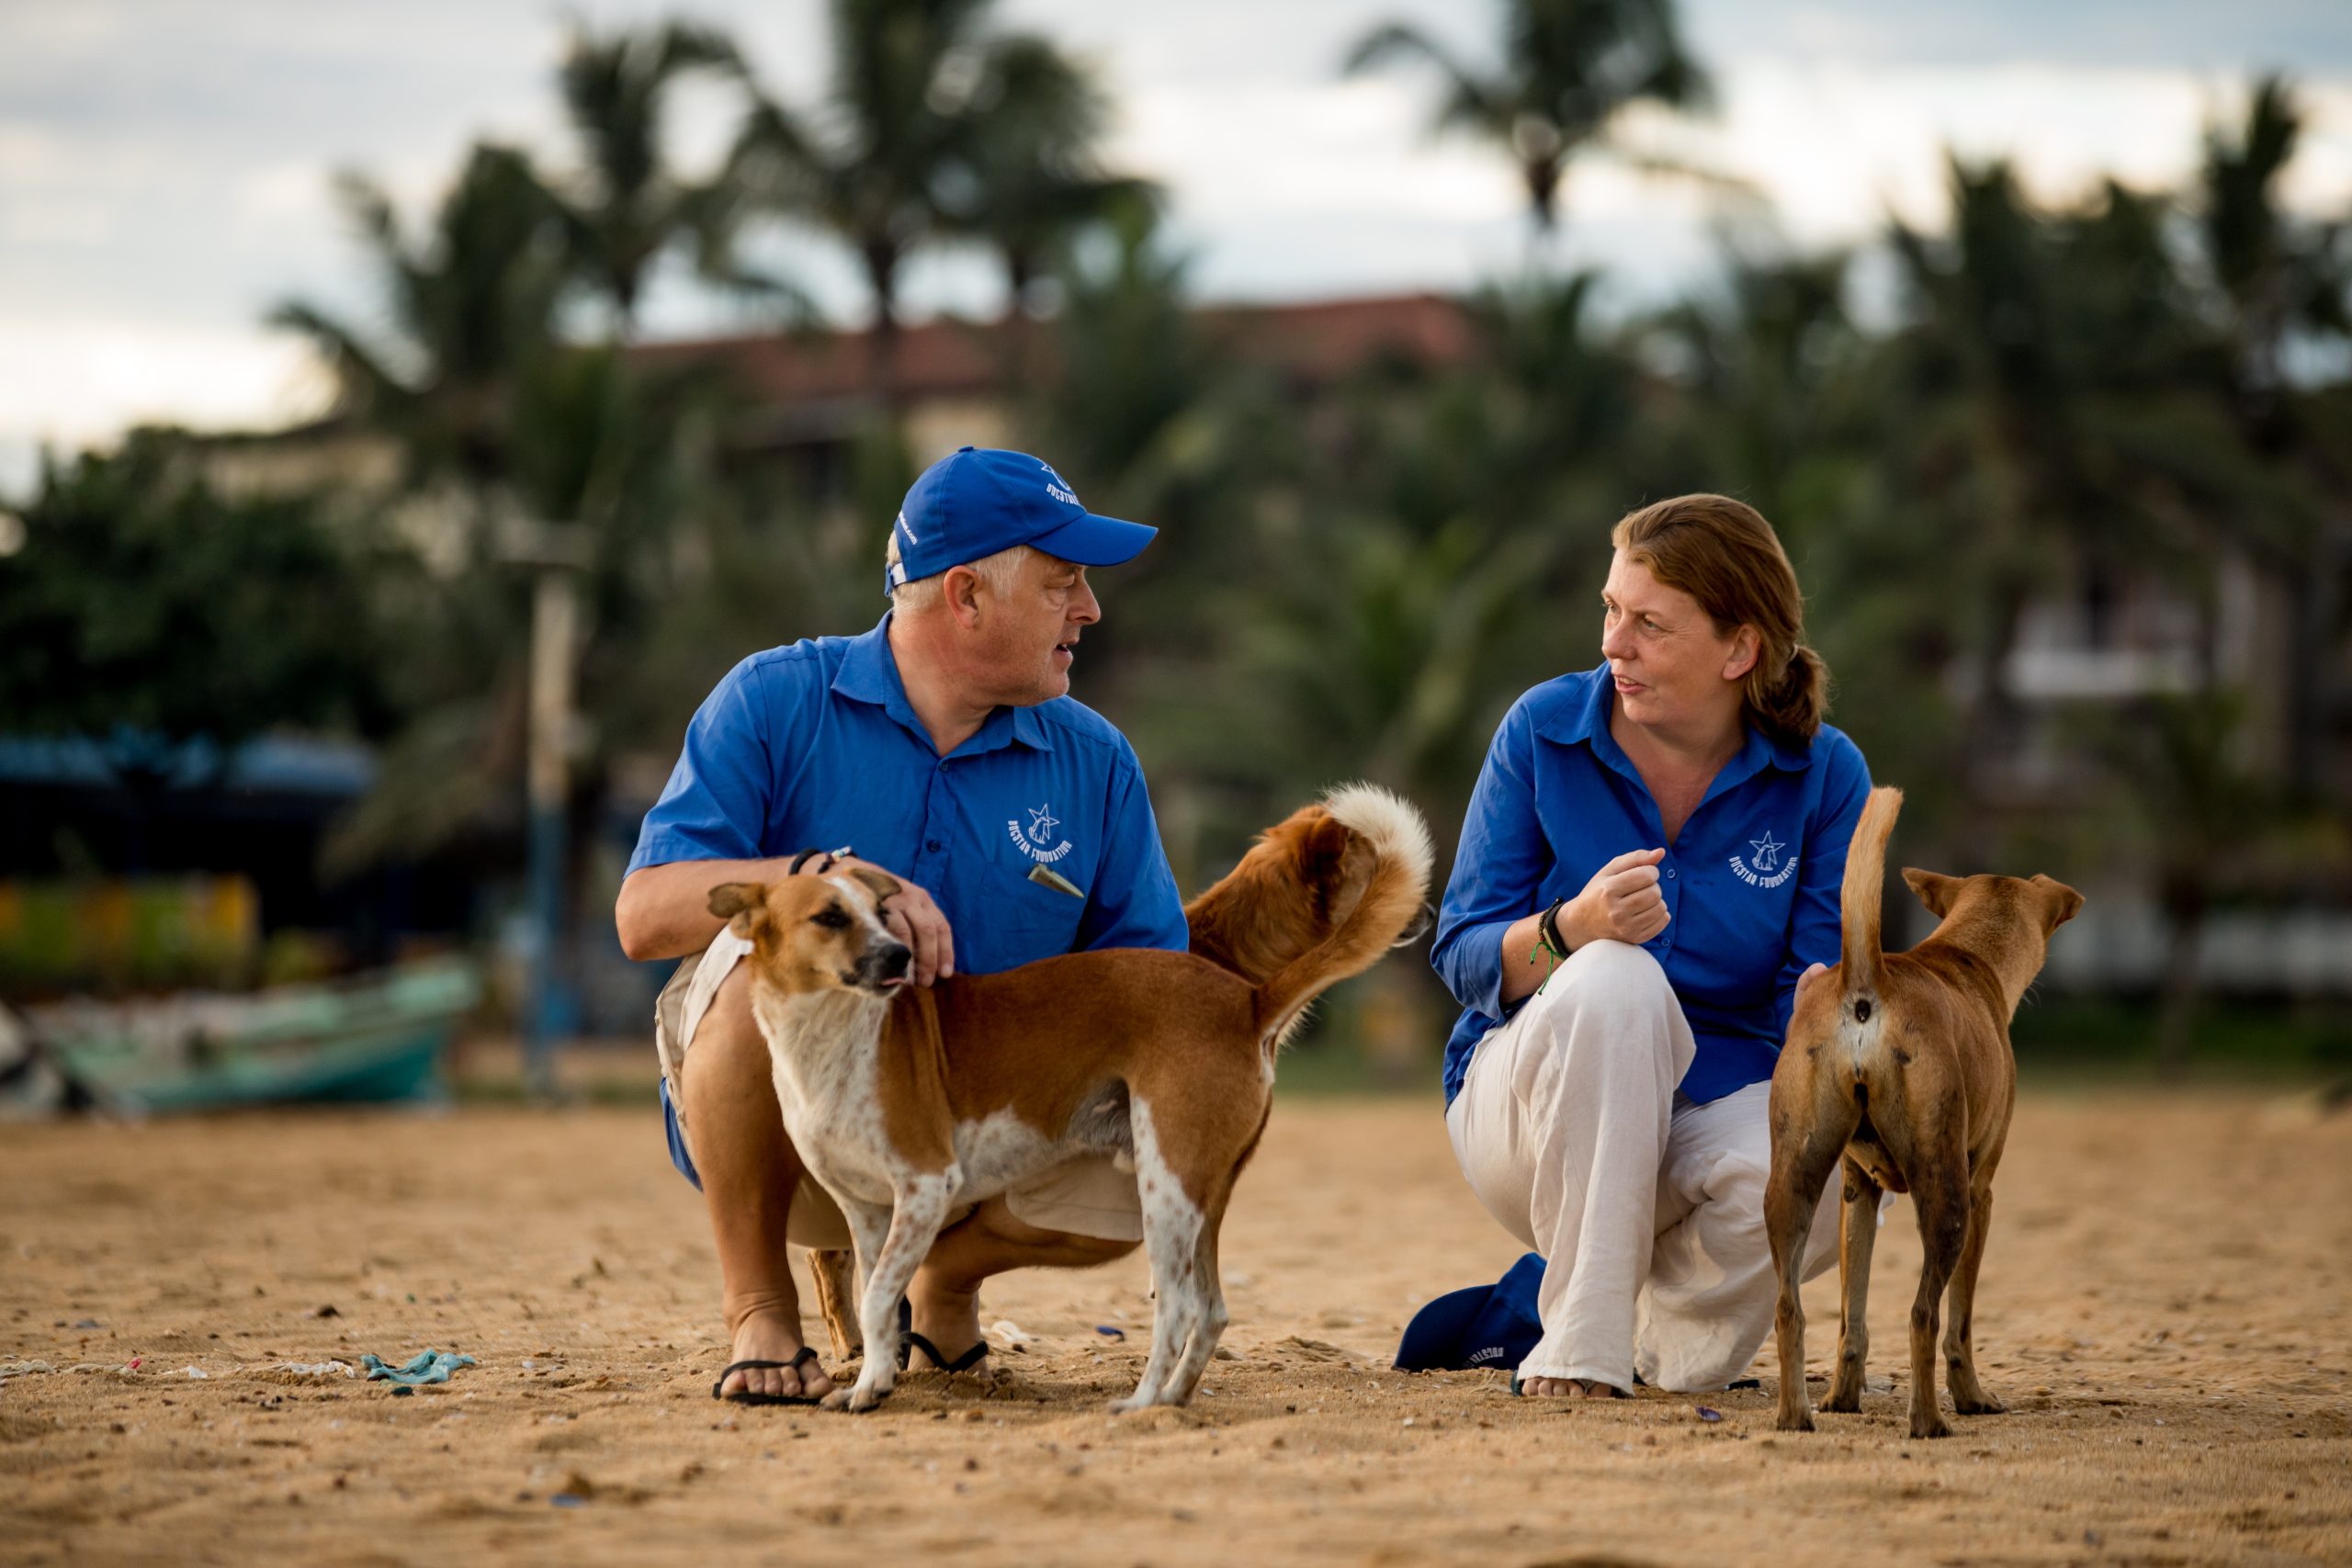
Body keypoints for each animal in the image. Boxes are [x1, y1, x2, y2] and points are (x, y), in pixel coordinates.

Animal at [700, 784, 1430, 1410]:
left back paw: (1139, 1405)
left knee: (1180, 1308)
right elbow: (876, 1298)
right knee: (1213, 1309)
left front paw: (870, 1386)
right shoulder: (870, 1210)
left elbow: (881, 1297)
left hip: (1165, 1184)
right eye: (829, 916)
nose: (901, 957)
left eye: (882, 914)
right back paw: (1171, 1401)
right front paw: (873, 1382)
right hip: (1200, 1194)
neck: (836, 1035)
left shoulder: (928, 1185)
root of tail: (1246, 1000)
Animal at [1769, 789, 2079, 1438]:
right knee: (1923, 1315)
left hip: (1793, 1179)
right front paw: (1973, 1396)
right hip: (1947, 1196)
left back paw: (1796, 1414)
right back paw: (1930, 1420)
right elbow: (1959, 1321)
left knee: (1789, 1308)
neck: (1964, 955)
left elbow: (1853, 1316)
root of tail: (1868, 982)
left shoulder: (1857, 1191)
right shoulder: (1983, 1191)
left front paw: (1843, 1398)